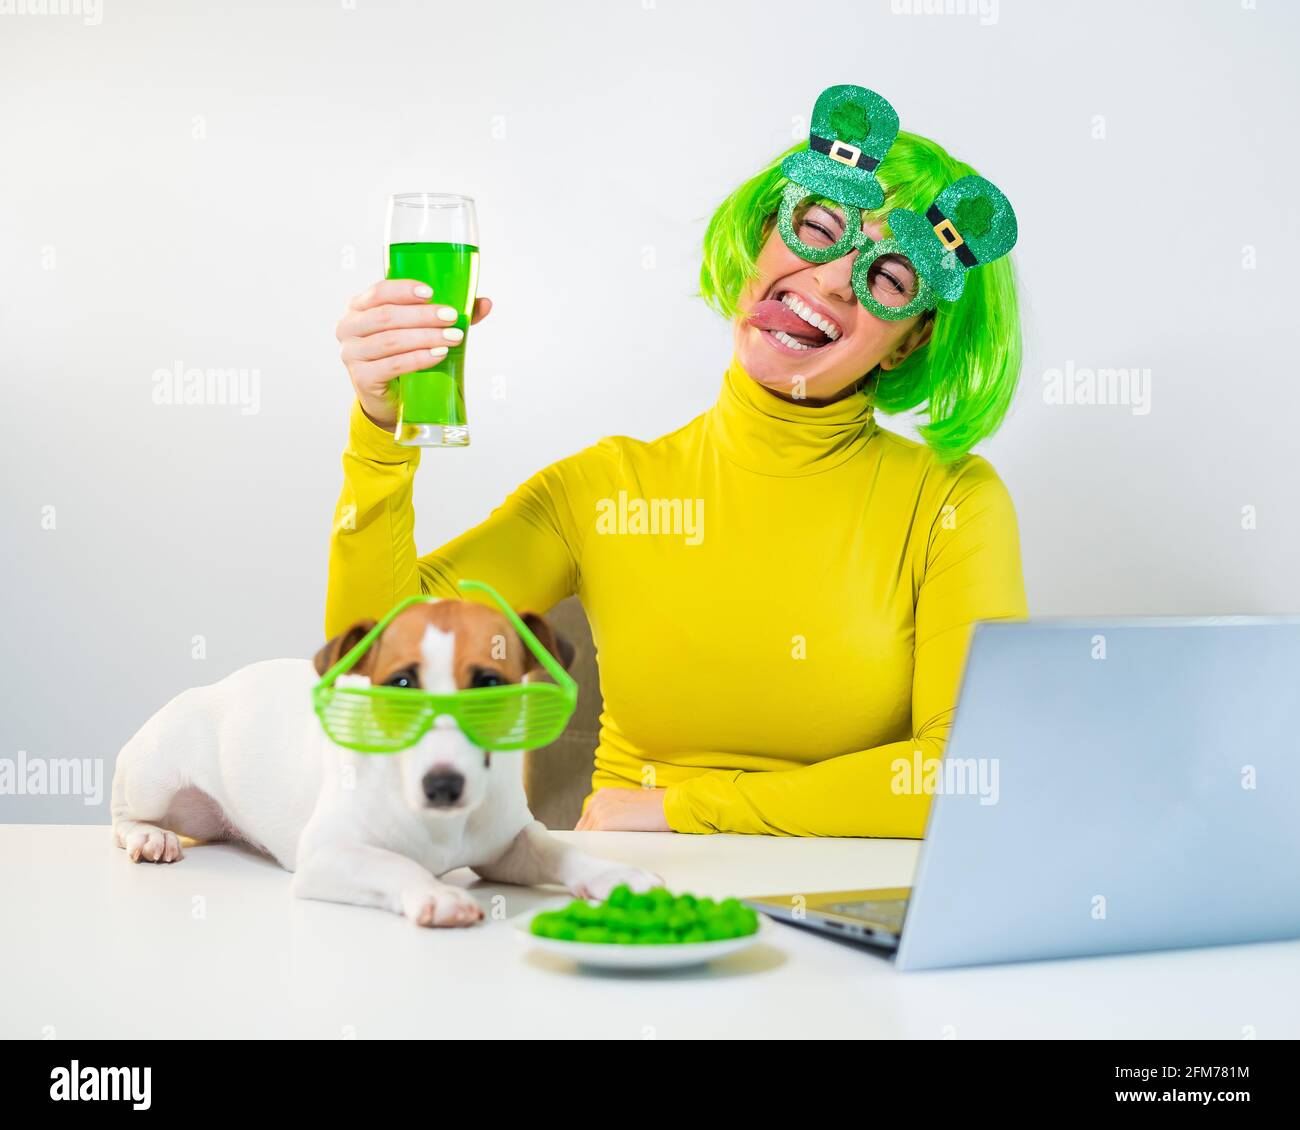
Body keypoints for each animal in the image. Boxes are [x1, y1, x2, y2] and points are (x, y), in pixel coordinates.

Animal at [110, 600, 660, 925]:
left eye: (488, 684)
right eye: (400, 684)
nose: (444, 786)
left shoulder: (508, 846)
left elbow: (555, 849)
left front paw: (613, 875)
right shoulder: (327, 856)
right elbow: (394, 863)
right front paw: (435, 893)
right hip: (155, 779)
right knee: (122, 813)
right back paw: (148, 837)